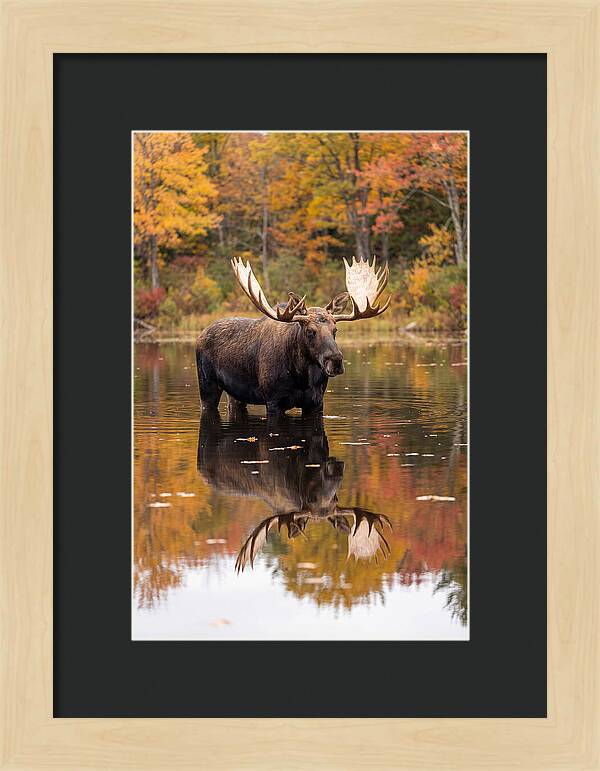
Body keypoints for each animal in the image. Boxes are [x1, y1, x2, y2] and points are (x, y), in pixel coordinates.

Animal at [196, 256, 391, 416]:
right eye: (310, 331)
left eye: (335, 330)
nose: (335, 361)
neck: (302, 377)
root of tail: (201, 334)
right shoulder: (273, 401)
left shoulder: (316, 403)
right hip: (207, 385)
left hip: (236, 394)